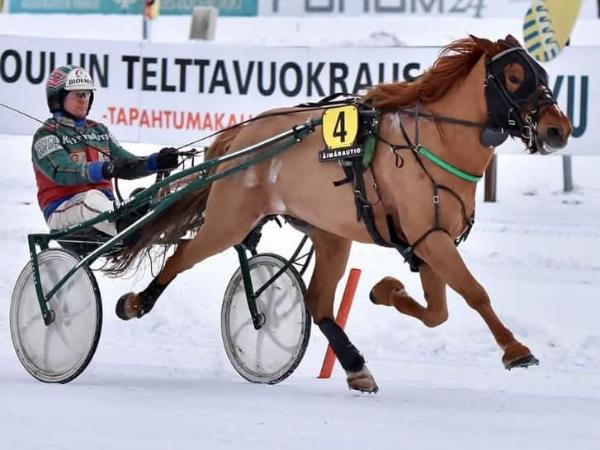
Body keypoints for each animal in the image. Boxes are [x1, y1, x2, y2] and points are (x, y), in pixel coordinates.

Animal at [111, 34, 571, 393]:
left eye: (544, 75)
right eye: (515, 77)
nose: (558, 130)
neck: (434, 144)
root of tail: (243, 135)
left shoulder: (428, 243)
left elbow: (437, 313)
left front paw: (386, 291)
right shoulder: (432, 240)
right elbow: (475, 293)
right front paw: (516, 350)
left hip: (330, 234)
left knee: (318, 303)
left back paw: (355, 367)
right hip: (230, 220)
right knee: (182, 254)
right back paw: (136, 303)